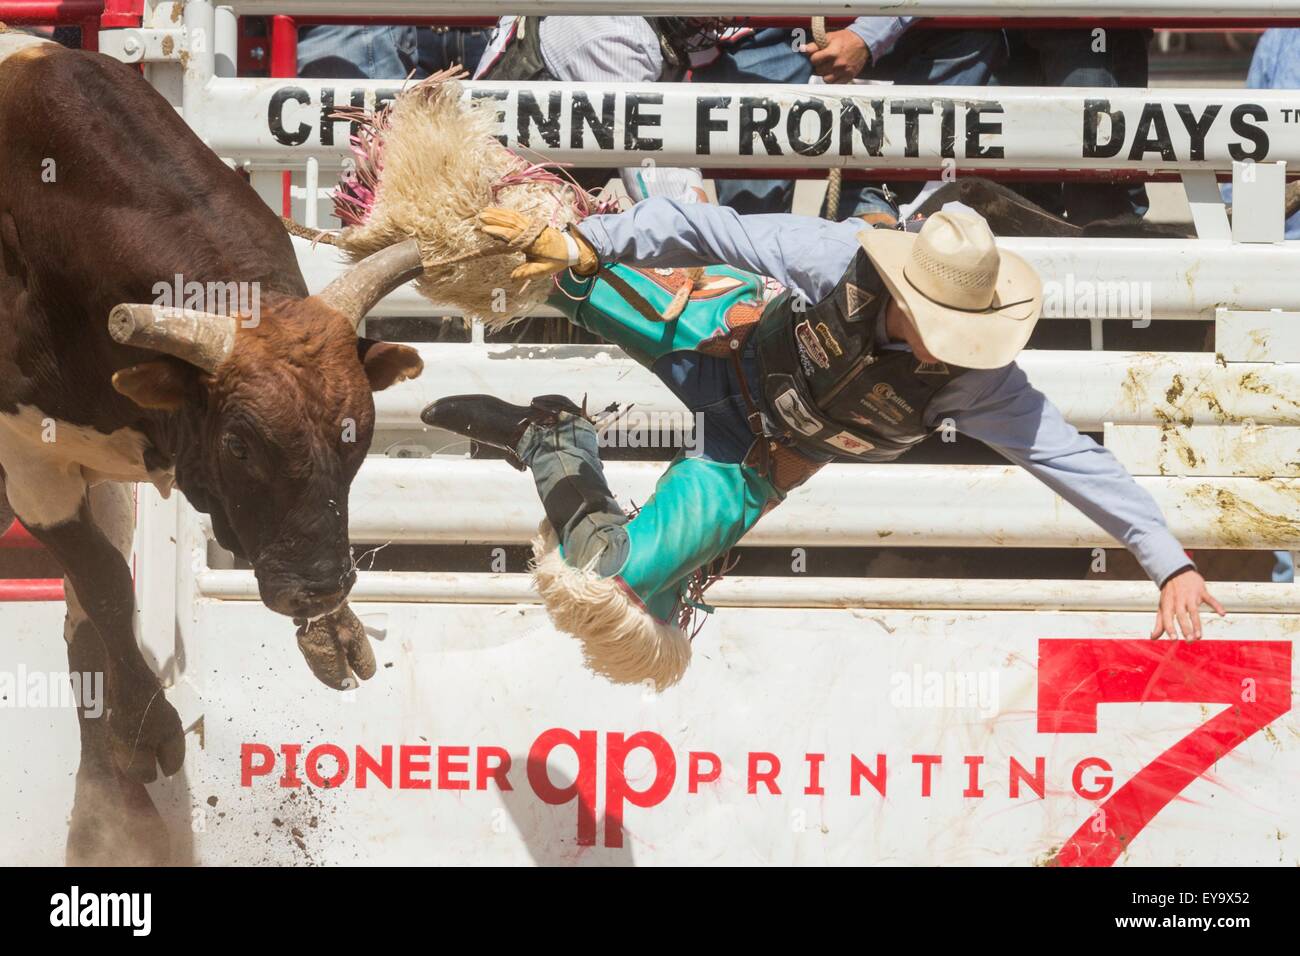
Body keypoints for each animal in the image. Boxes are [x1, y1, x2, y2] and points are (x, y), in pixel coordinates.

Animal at [0, 33, 426, 863]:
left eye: (357, 434)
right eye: (239, 443)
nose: (319, 587)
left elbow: (90, 605)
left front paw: (335, 633)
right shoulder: (32, 460)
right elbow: (104, 580)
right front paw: (148, 729)